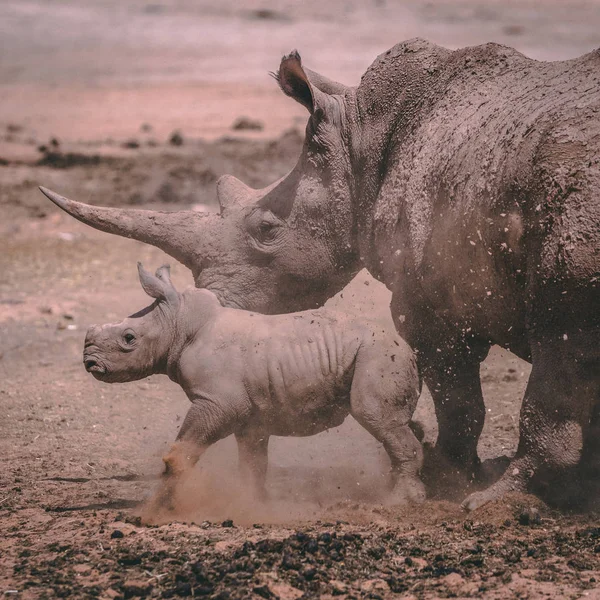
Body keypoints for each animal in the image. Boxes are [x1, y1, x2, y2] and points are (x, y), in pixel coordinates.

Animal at [84, 264, 424, 512]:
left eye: (129, 338)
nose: (89, 362)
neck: (179, 322)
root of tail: (409, 349)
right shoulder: (250, 416)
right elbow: (253, 463)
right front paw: (253, 503)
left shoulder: (218, 403)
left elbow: (182, 451)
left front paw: (154, 511)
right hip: (378, 353)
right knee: (395, 422)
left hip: (378, 353)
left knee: (376, 417)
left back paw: (396, 503)